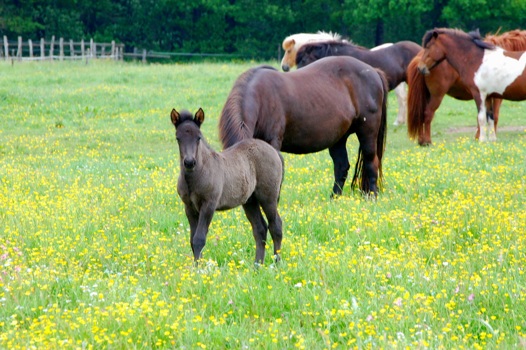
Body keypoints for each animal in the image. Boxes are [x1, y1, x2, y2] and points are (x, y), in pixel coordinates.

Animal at [172, 108, 284, 264]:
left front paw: (200, 269)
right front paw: (196, 267)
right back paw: (257, 265)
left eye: (198, 137)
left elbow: (199, 239)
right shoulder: (189, 207)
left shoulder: (209, 205)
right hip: (250, 201)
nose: (189, 162)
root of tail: (274, 152)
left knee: (276, 226)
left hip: (268, 197)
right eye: (178, 138)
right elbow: (192, 241)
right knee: (260, 229)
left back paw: (276, 264)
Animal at [221, 56, 390, 196]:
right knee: (341, 167)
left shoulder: (273, 142)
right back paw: (334, 198)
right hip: (338, 138)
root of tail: (374, 71)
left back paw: (372, 196)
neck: (262, 97)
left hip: (367, 132)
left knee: (371, 162)